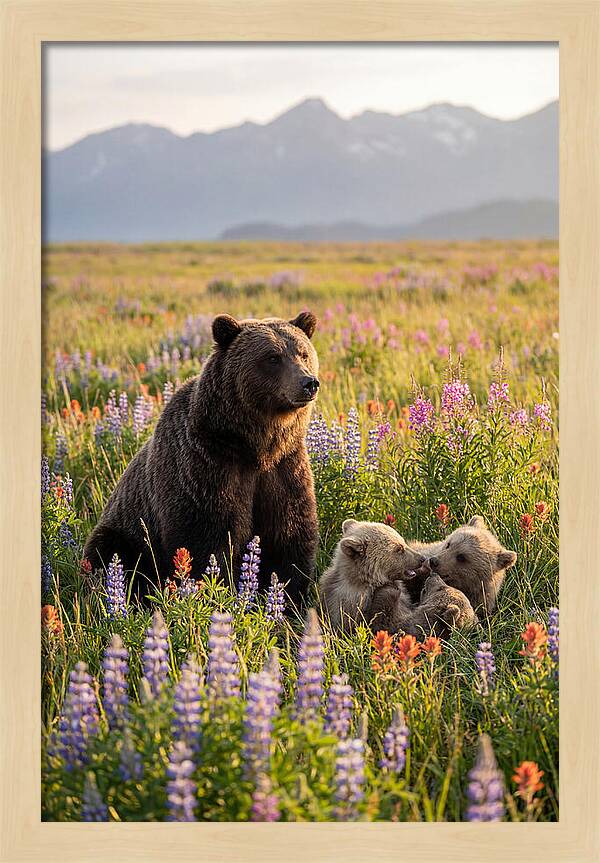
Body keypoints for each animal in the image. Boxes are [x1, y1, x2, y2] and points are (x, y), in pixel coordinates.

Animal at [84, 311, 321, 606]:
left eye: (303, 353)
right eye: (273, 357)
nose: (308, 382)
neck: (254, 446)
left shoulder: (285, 468)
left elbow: (289, 535)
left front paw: (289, 600)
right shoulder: (205, 466)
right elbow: (206, 538)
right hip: (125, 531)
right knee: (111, 555)